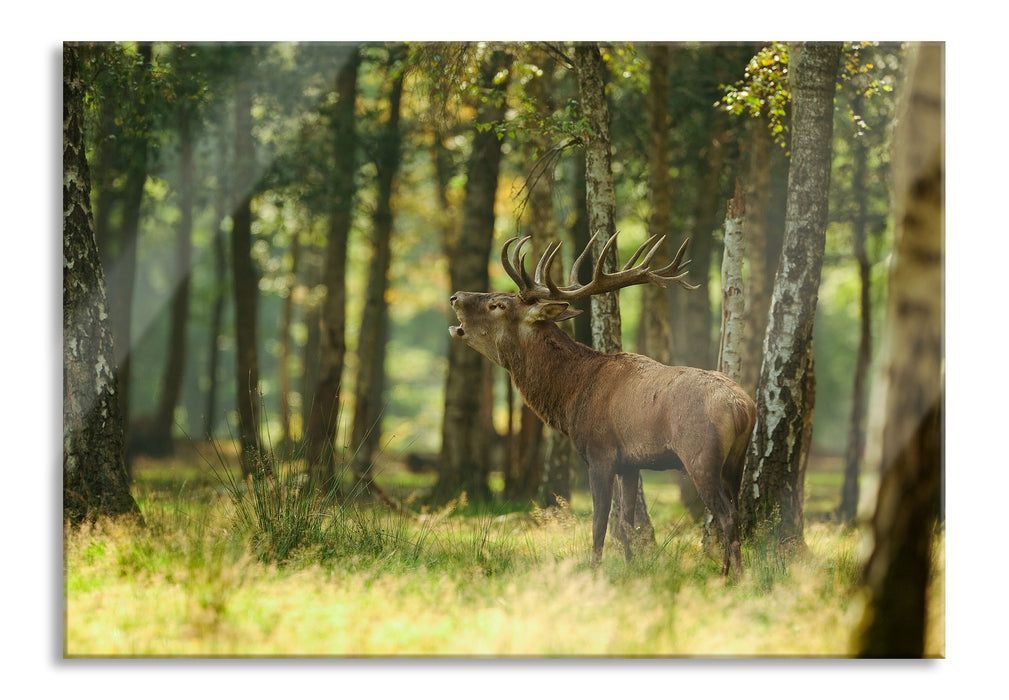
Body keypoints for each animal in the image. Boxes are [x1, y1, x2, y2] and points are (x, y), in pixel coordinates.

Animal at [445, 232, 754, 576]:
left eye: (498, 304)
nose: (455, 296)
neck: (572, 396)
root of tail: (742, 407)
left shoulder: (599, 453)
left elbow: (599, 524)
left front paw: (594, 572)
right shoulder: (631, 463)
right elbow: (626, 523)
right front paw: (631, 569)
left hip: (700, 456)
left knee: (727, 514)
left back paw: (736, 577)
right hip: (736, 461)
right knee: (736, 509)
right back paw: (725, 573)